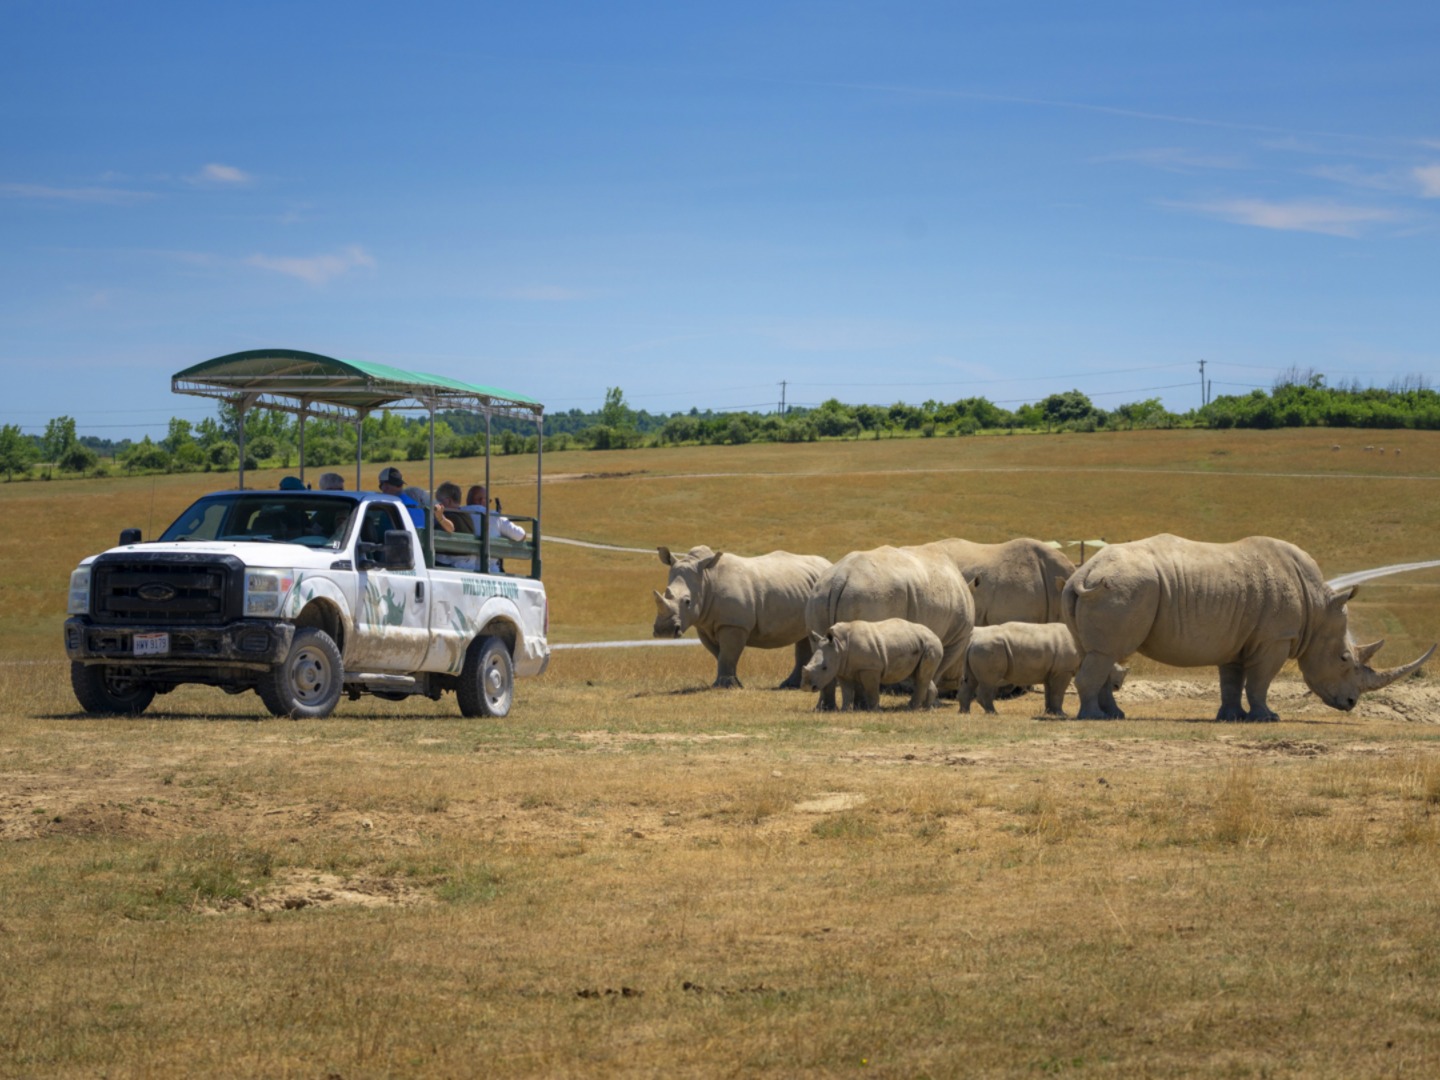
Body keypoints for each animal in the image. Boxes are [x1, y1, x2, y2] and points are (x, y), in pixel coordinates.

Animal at [653, 546, 832, 688]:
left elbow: (727, 654)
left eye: (687, 601)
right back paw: (790, 685)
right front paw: (732, 683)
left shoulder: (733, 624)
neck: (705, 579)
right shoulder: (704, 625)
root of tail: (829, 564)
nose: (664, 632)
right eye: (665, 594)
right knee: (804, 636)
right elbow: (720, 655)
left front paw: (725, 686)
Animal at [802, 619, 944, 711]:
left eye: (824, 668)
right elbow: (846, 690)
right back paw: (927, 708)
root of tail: (935, 634)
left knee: (921, 677)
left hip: (931, 645)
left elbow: (871, 689)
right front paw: (844, 710)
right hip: (920, 644)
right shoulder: (842, 669)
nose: (807, 687)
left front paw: (874, 710)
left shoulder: (870, 668)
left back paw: (911, 709)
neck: (839, 646)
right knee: (919, 675)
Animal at [959, 621, 1127, 717]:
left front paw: (1050, 713)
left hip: (979, 648)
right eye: (1113, 672)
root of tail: (972, 641)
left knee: (970, 680)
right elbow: (1059, 692)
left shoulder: (1051, 671)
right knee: (989, 682)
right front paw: (1062, 714)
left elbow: (1049, 693)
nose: (1117, 687)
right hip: (988, 648)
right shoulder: (1063, 671)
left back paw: (964, 713)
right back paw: (993, 713)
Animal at [1063, 534, 1435, 721]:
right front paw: (1268, 717)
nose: (1350, 703)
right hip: (1124, 587)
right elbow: (1260, 681)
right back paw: (1095, 718)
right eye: (1345, 659)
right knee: (1106, 652)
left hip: (1105, 588)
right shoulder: (1275, 639)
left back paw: (1114, 715)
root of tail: (1086, 571)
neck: (1319, 607)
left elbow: (1231, 681)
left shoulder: (1236, 638)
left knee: (1096, 652)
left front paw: (1230, 717)